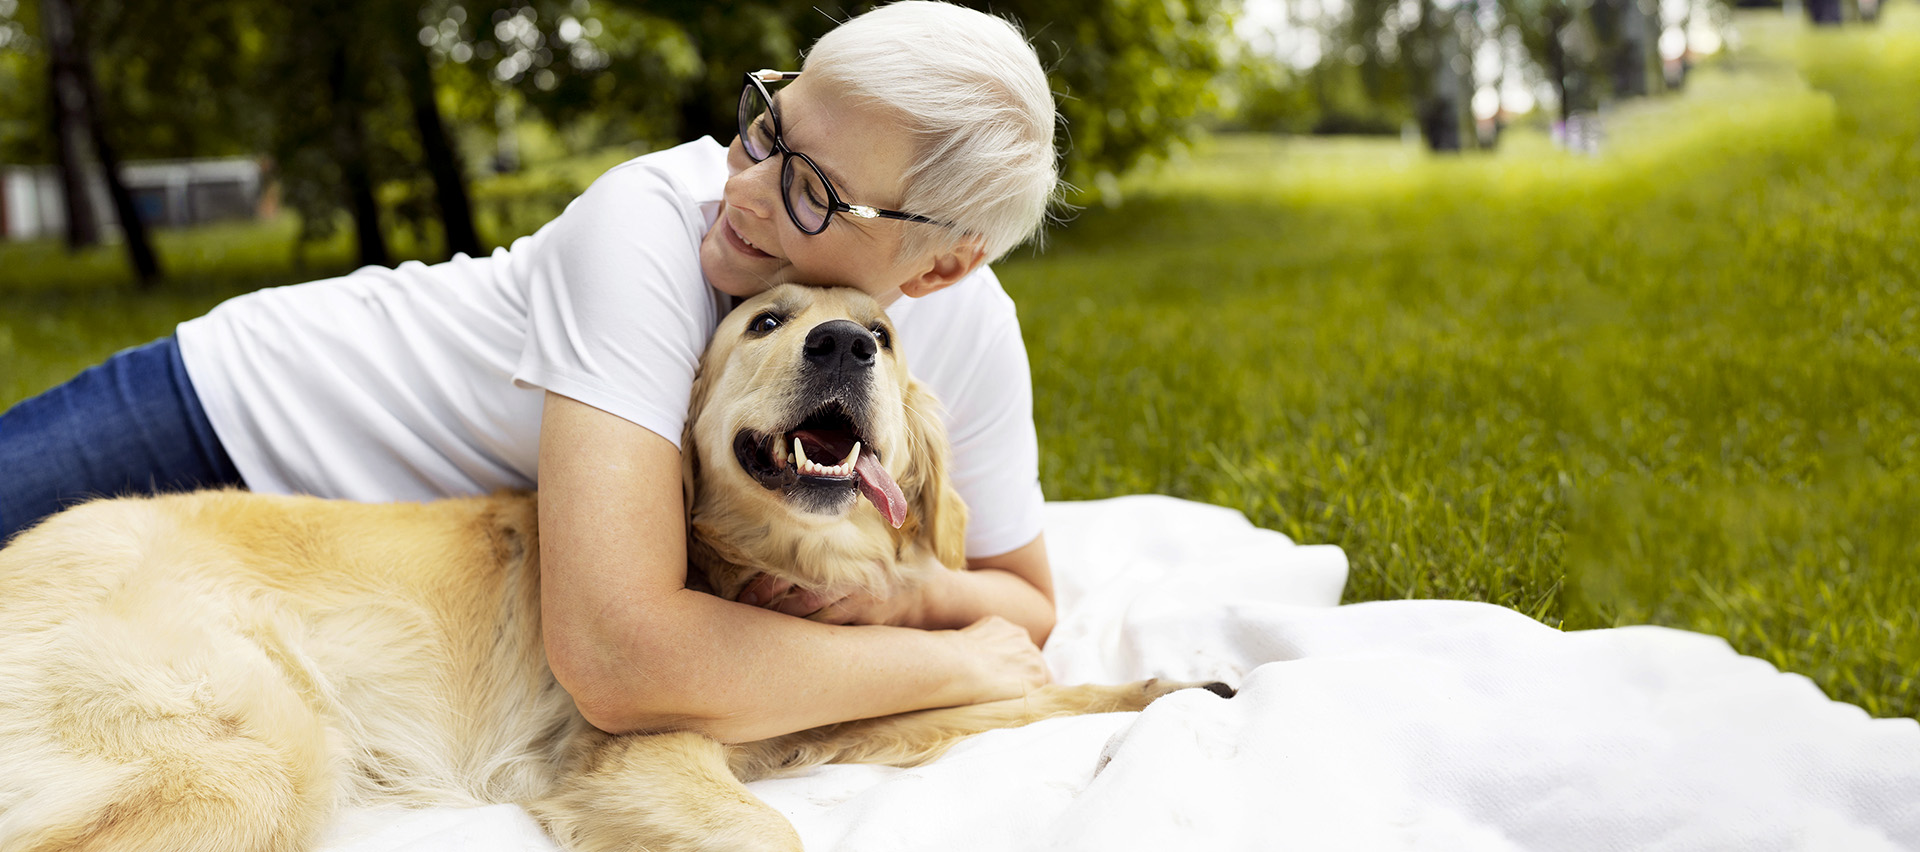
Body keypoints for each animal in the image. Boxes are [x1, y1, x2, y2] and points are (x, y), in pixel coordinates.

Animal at [0, 285, 1221, 852]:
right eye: (767, 322)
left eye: (883, 332)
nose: (844, 346)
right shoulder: (630, 756)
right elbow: (775, 829)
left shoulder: (831, 714)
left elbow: (1026, 696)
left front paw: (1172, 686)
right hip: (252, 751)